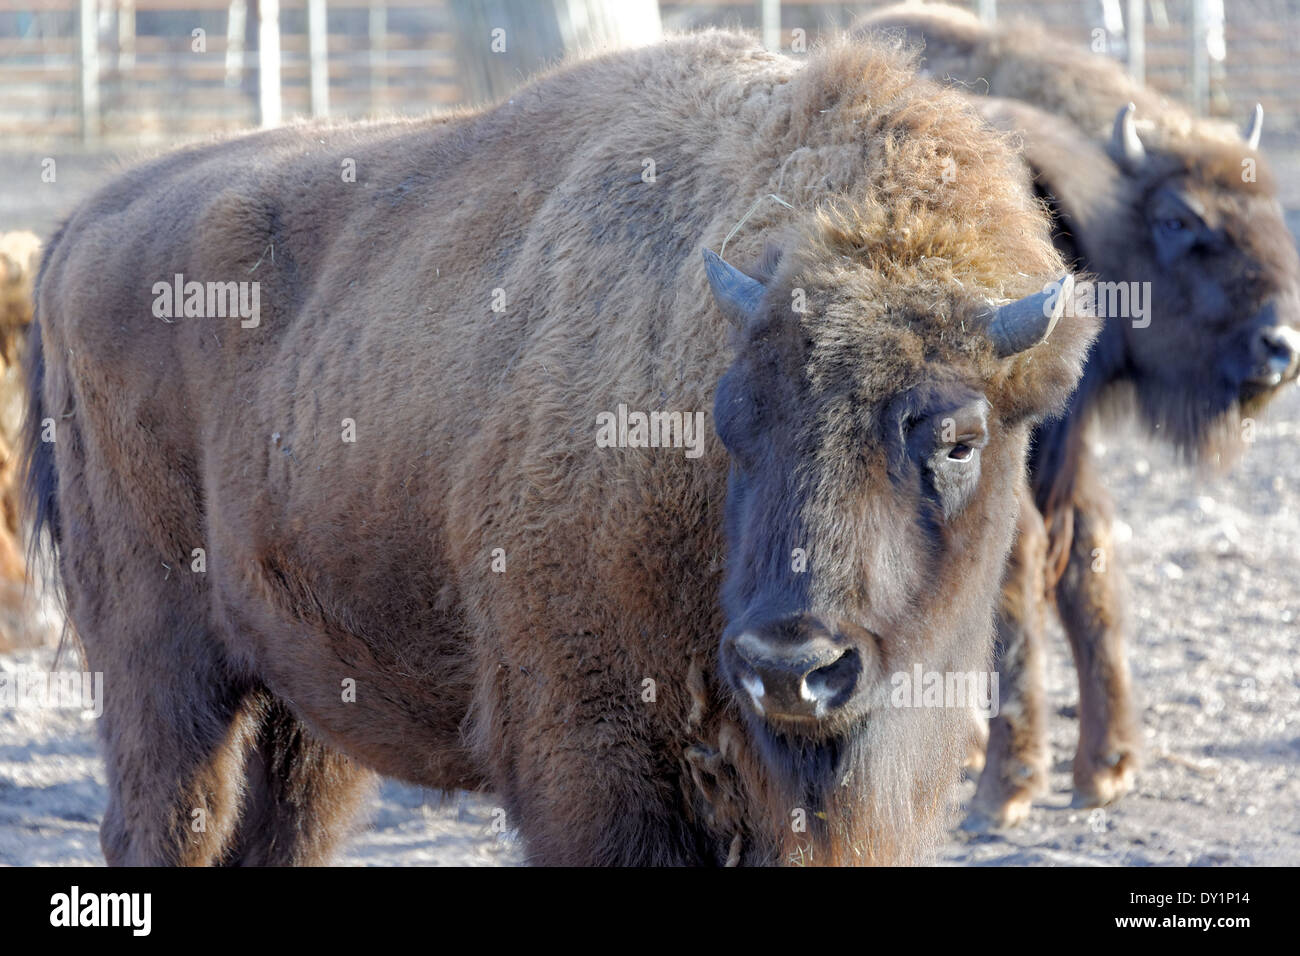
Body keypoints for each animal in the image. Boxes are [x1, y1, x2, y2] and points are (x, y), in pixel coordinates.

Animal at [25, 33, 1092, 863]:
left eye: (957, 439)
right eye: (731, 419)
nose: (791, 667)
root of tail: (80, 226)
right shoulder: (592, 755)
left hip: (304, 692)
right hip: (162, 669)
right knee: (168, 821)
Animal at [863, 3, 1300, 827]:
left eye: (1270, 213)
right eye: (1179, 219)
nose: (1280, 345)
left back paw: (1003, 789)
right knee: (1077, 550)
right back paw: (1099, 768)